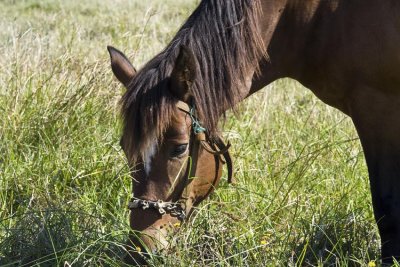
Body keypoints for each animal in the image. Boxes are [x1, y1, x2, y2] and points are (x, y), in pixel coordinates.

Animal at [108, 0, 400, 264]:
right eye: (125, 147)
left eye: (179, 148)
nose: (138, 251)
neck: (312, 15)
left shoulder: (378, 110)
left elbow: (386, 205)